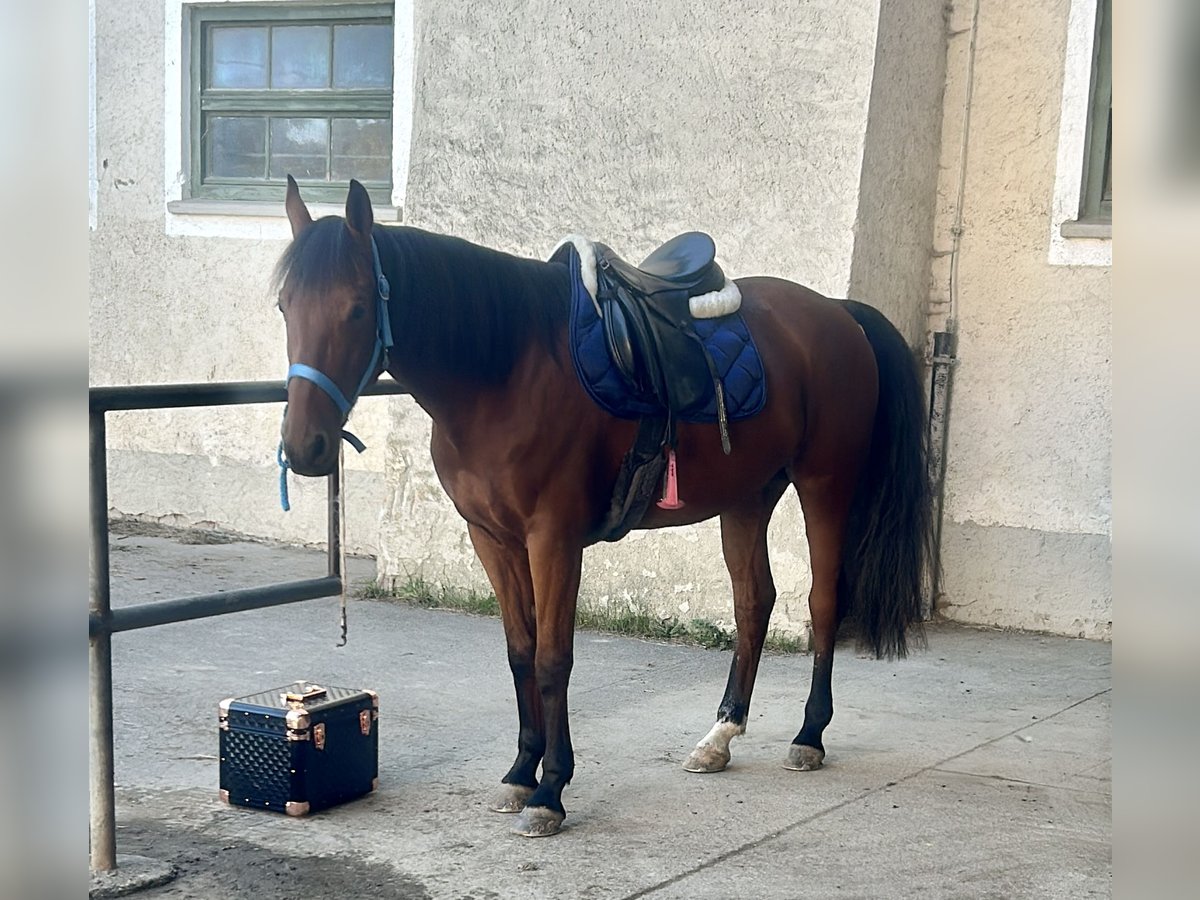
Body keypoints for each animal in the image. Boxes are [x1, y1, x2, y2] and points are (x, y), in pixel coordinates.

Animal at [275, 177, 933, 837]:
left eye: (358, 307)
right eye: (284, 305)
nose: (305, 447)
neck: (505, 370)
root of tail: (836, 311)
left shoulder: (554, 540)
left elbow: (552, 660)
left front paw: (550, 790)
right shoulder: (492, 538)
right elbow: (519, 653)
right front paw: (521, 772)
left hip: (824, 484)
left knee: (823, 602)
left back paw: (809, 735)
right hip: (748, 497)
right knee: (753, 604)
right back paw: (720, 736)